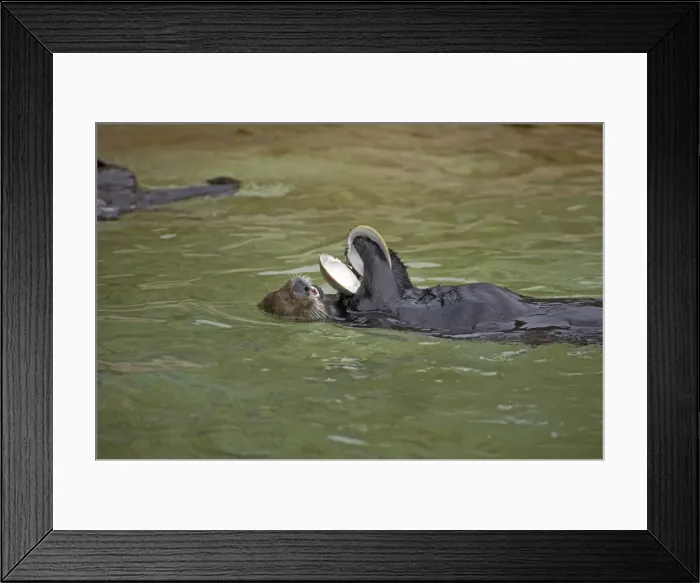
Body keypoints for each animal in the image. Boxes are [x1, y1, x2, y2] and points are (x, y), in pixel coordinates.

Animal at [258, 236, 603, 346]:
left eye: (286, 286)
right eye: (288, 298)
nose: (303, 286)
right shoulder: (373, 308)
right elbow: (382, 291)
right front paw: (367, 245)